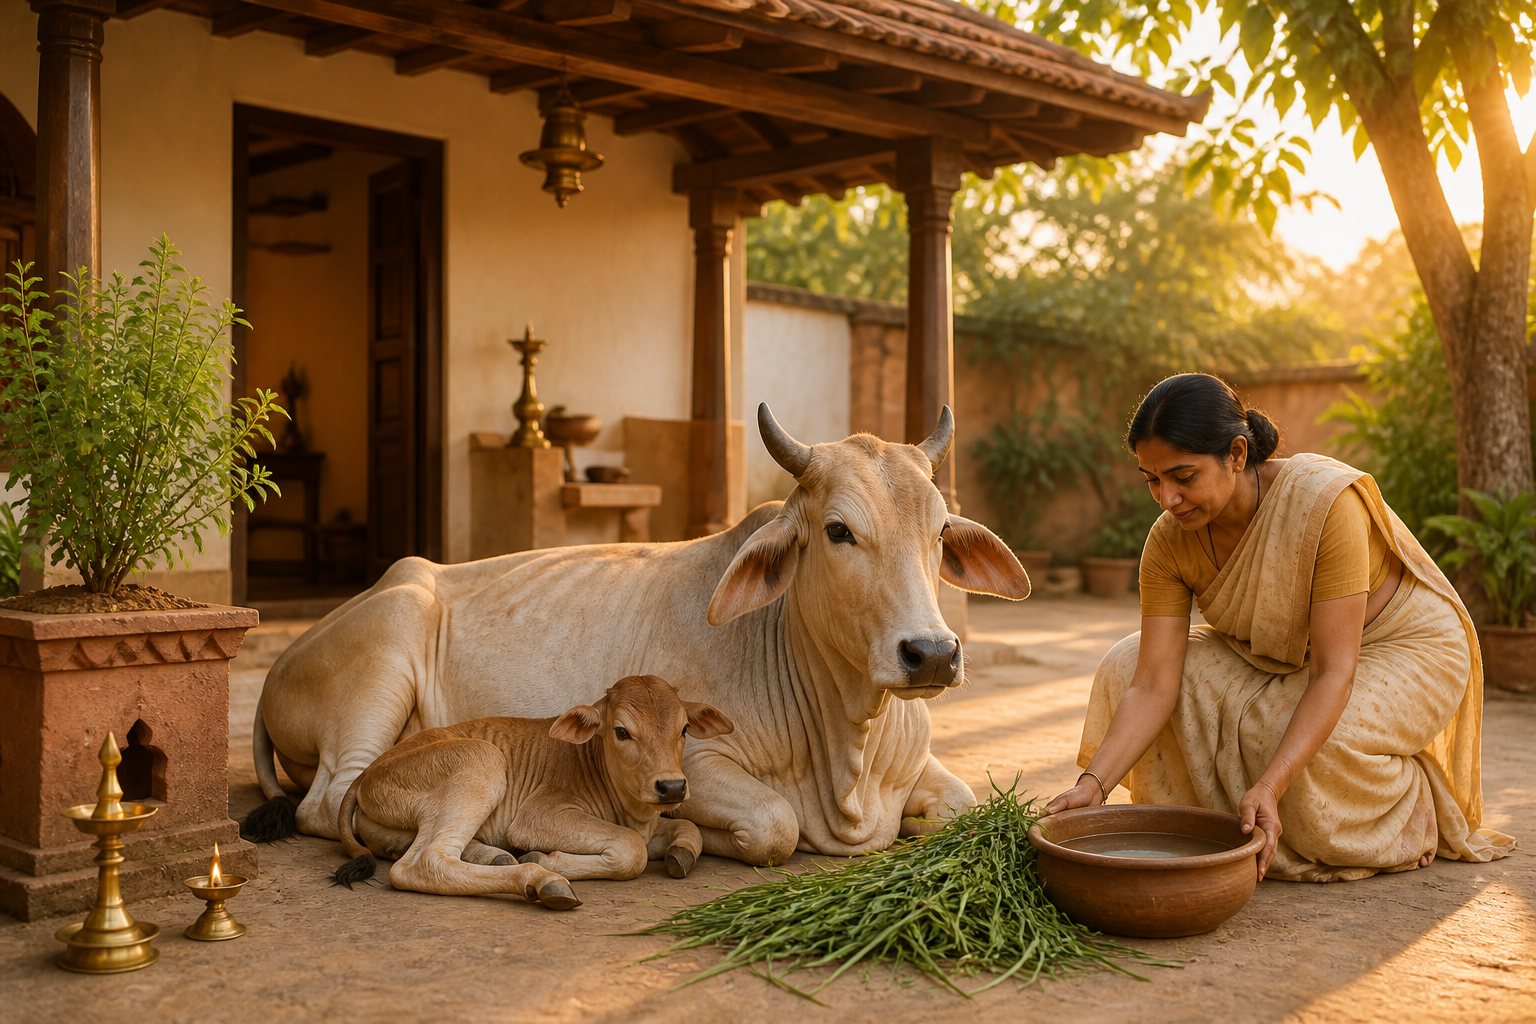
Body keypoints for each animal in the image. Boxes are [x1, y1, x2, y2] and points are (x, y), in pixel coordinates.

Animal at [248, 405, 1030, 865]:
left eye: (940, 531)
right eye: (838, 531)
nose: (932, 653)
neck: (848, 743)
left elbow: (960, 805)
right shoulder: (700, 761)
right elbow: (775, 824)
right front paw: (689, 836)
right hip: (384, 655)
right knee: (330, 803)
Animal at [331, 675, 735, 903]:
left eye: (684, 728)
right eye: (622, 731)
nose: (672, 786)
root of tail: (368, 771)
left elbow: (688, 827)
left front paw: (680, 852)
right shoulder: (537, 815)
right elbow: (631, 849)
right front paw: (544, 859)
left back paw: (496, 856)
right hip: (481, 761)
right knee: (422, 863)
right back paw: (540, 880)